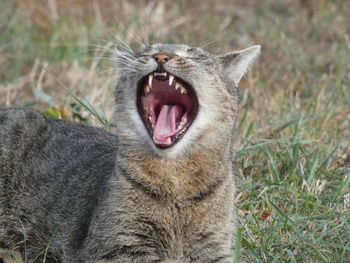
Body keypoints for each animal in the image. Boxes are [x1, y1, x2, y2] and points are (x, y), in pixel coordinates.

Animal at [0, 43, 260, 263]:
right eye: (146, 51)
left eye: (192, 54)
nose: (161, 56)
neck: (175, 176)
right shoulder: (117, 246)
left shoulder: (214, 248)